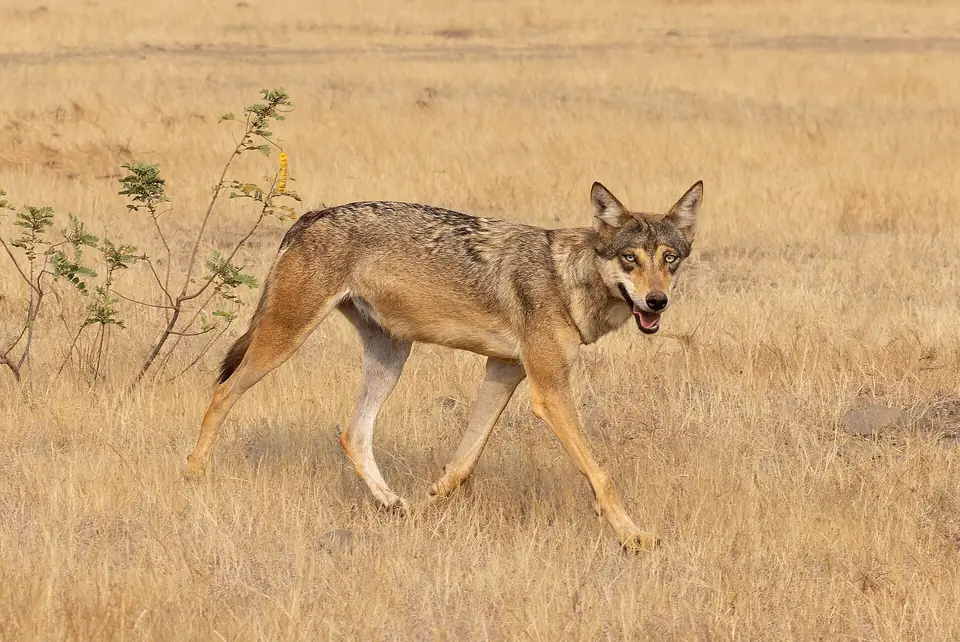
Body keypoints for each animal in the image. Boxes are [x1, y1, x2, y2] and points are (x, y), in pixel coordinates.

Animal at [184, 180, 704, 551]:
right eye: (629, 258)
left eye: (670, 259)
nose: (656, 301)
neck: (567, 279)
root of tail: (310, 216)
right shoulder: (548, 389)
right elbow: (601, 474)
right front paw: (633, 535)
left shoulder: (504, 370)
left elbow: (465, 461)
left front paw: (433, 501)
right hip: (285, 339)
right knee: (221, 393)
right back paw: (194, 474)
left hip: (392, 357)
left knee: (353, 434)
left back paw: (394, 504)